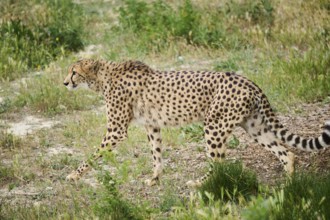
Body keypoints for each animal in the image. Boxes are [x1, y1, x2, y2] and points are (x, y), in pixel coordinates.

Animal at [63, 58, 330, 186]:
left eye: (74, 72)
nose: (65, 82)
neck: (102, 76)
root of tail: (247, 80)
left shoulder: (116, 130)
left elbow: (93, 155)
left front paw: (75, 175)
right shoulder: (152, 125)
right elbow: (156, 153)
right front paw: (155, 178)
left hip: (214, 126)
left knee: (219, 163)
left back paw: (201, 184)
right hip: (254, 126)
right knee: (287, 152)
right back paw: (290, 184)